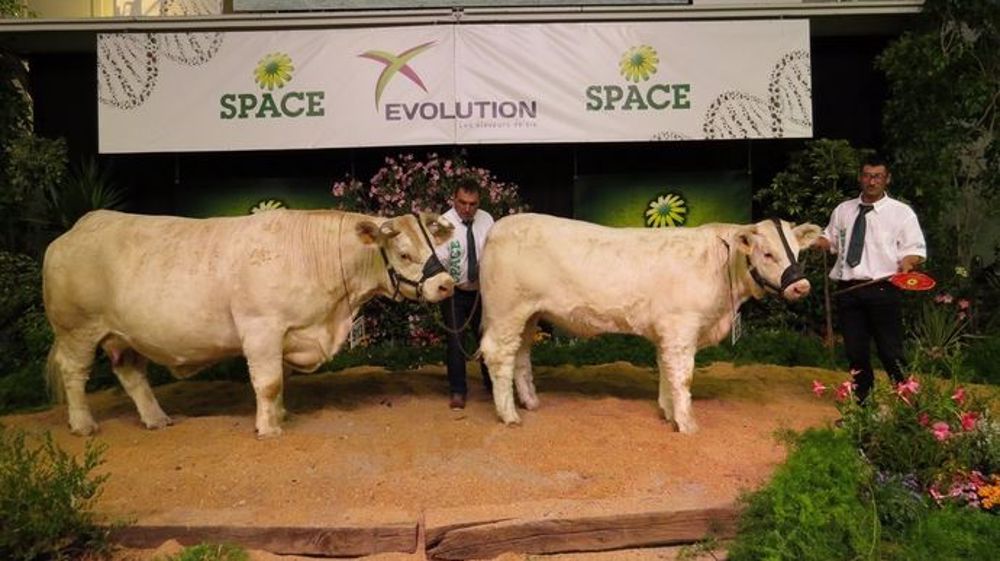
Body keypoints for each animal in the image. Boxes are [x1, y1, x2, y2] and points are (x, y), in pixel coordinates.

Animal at [42, 209, 455, 438]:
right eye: (404, 254)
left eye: (434, 248)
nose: (446, 284)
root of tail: (79, 227)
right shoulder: (261, 329)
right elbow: (268, 382)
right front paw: (269, 429)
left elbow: (277, 382)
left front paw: (280, 415)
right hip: (77, 329)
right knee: (74, 374)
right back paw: (83, 425)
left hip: (124, 336)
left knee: (131, 375)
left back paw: (157, 419)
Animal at [478, 214, 822, 433]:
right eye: (767, 253)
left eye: (798, 252)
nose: (802, 286)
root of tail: (498, 227)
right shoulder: (681, 328)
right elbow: (682, 376)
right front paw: (687, 424)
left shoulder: (666, 331)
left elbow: (666, 370)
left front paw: (668, 413)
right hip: (507, 310)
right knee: (499, 355)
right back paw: (509, 415)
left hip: (529, 314)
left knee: (521, 354)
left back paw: (530, 402)